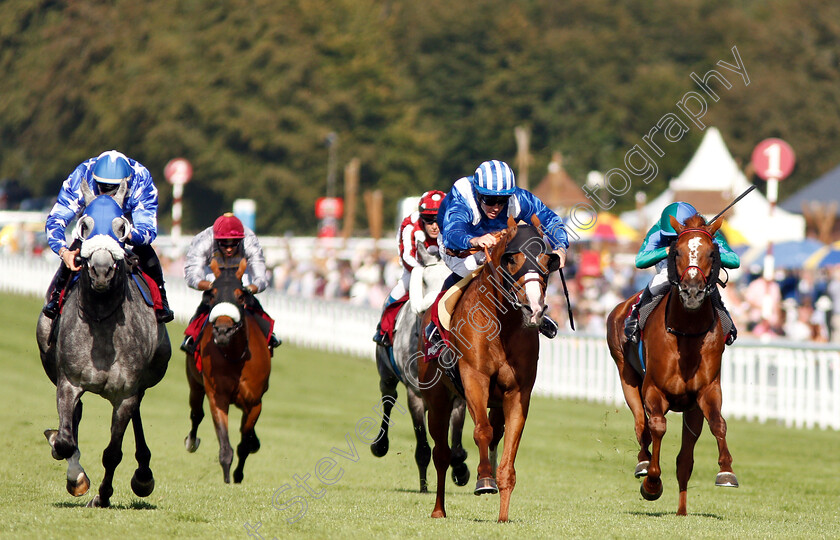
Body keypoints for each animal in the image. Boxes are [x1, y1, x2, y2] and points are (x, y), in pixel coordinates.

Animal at [37, 179, 171, 508]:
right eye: (84, 225)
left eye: (121, 227)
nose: (100, 270)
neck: (101, 322)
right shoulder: (69, 382)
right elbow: (65, 440)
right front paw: (76, 476)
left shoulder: (125, 394)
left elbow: (112, 452)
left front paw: (103, 495)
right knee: (76, 417)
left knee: (136, 414)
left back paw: (143, 474)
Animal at [183, 255, 270, 484]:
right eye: (212, 294)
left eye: (240, 296)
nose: (223, 330)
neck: (234, 356)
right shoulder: (217, 396)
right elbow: (225, 447)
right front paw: (227, 479)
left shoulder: (254, 402)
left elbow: (245, 441)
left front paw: (238, 474)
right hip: (194, 383)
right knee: (196, 413)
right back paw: (191, 441)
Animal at [370, 243, 470, 492]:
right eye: (424, 281)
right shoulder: (414, 395)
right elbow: (423, 447)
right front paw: (424, 486)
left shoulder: (458, 397)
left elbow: (455, 446)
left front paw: (461, 471)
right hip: (386, 374)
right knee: (388, 400)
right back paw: (380, 445)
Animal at [420, 217, 564, 520]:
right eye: (512, 259)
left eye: (547, 260)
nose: (534, 309)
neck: (502, 327)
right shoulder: (474, 379)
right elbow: (481, 431)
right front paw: (484, 479)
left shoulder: (517, 393)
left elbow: (509, 447)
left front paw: (503, 515)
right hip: (438, 401)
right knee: (441, 453)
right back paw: (439, 509)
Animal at [608, 213, 740, 516]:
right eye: (676, 251)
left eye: (712, 252)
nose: (692, 293)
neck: (686, 332)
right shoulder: (654, 389)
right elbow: (656, 426)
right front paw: (652, 483)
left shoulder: (707, 390)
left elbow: (718, 424)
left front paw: (726, 472)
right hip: (626, 376)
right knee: (640, 424)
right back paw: (644, 464)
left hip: (691, 409)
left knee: (684, 459)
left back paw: (681, 510)